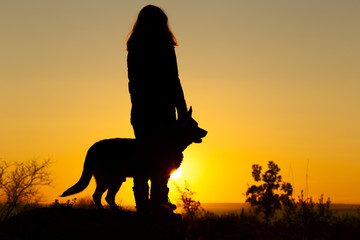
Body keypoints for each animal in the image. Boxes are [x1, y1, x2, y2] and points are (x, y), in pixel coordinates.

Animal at [58, 108, 205, 209]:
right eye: (195, 125)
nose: (206, 132)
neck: (172, 141)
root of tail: (93, 147)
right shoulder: (159, 176)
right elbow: (158, 192)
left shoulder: (160, 176)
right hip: (111, 179)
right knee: (101, 196)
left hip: (113, 180)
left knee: (104, 197)